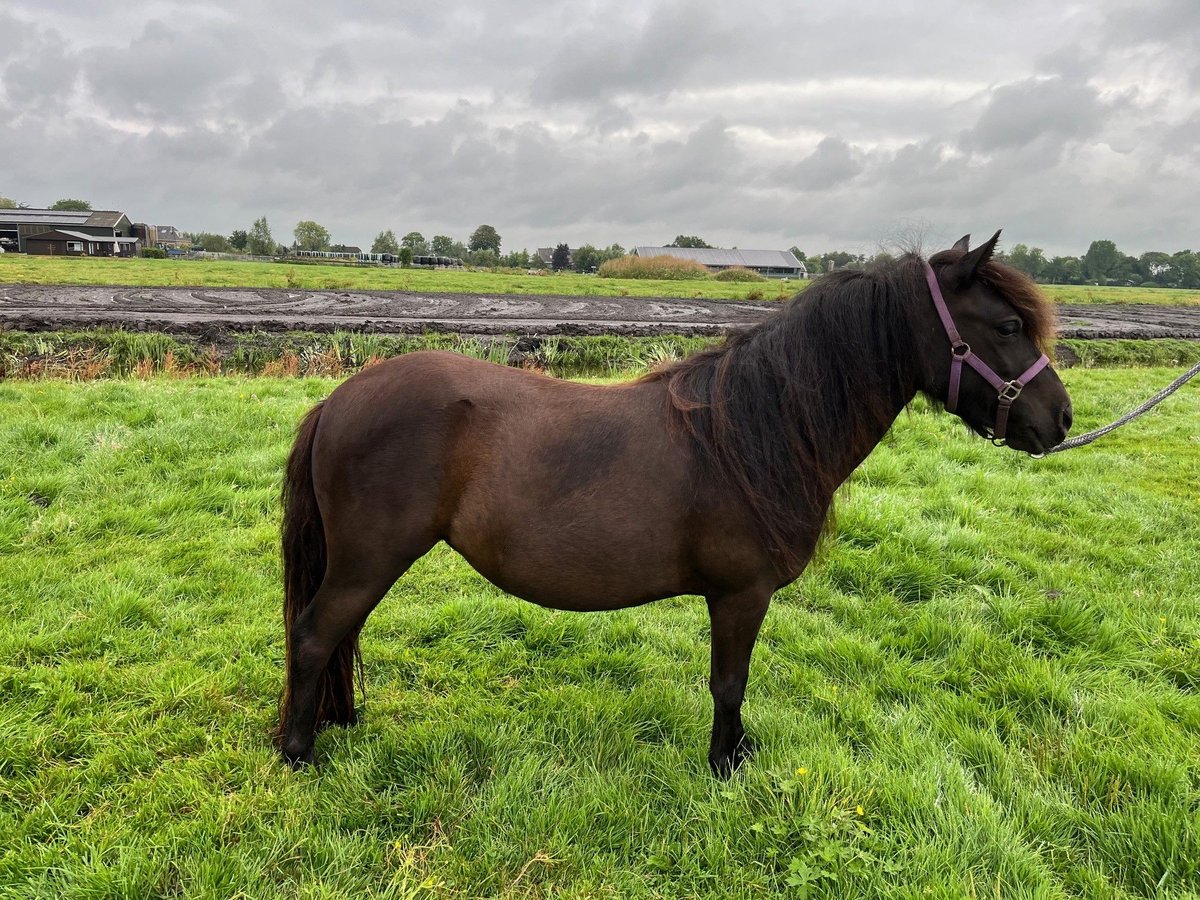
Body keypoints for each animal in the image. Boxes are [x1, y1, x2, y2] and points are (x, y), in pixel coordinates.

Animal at [276, 236, 1075, 777]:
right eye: (1007, 327)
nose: (1062, 420)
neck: (755, 429)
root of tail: (337, 399)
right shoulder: (740, 594)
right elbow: (729, 683)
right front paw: (727, 765)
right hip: (368, 561)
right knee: (316, 634)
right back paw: (299, 751)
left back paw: (339, 722)